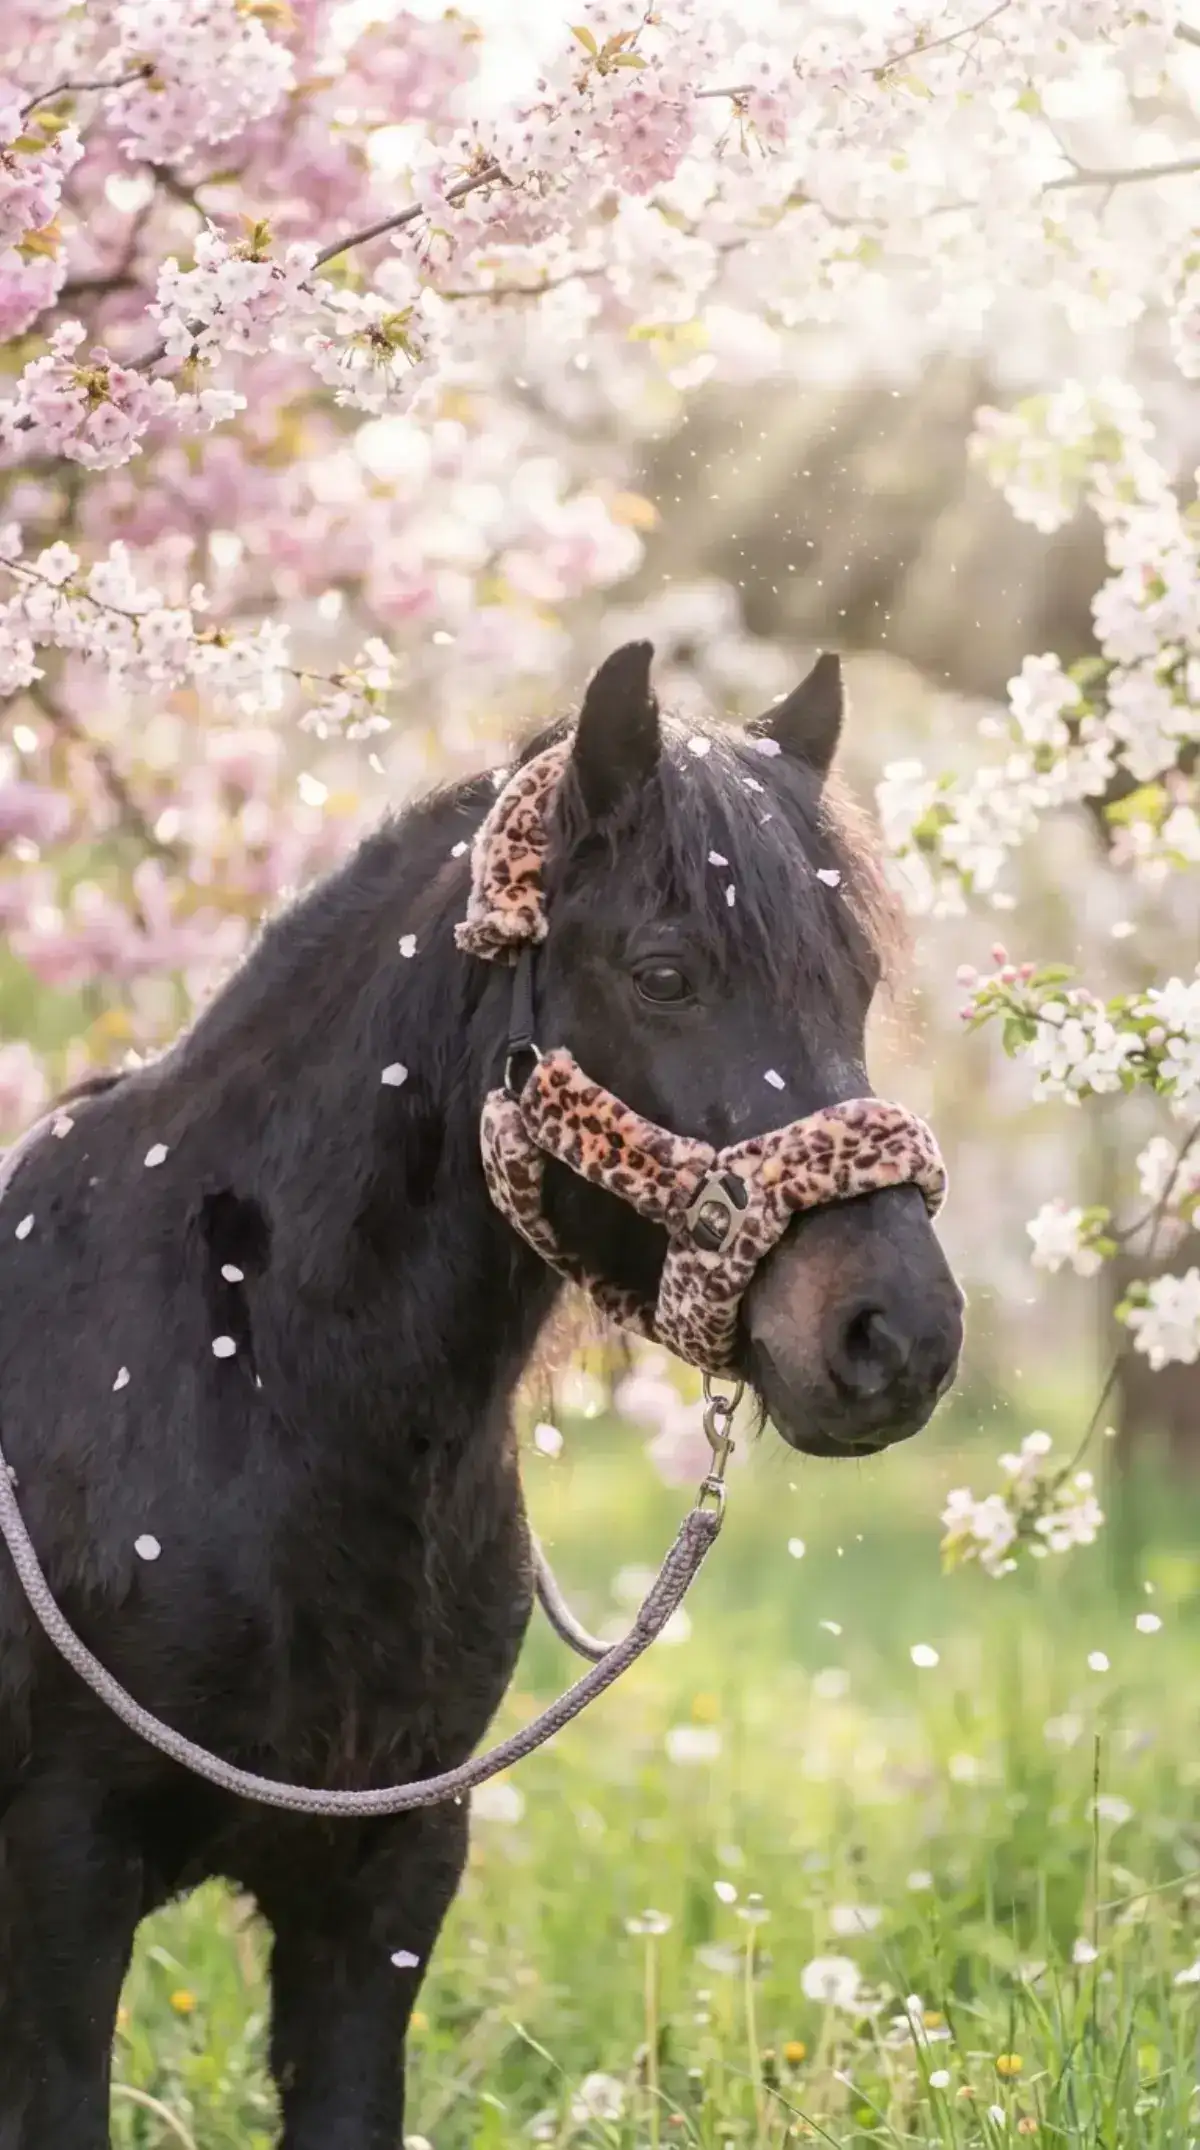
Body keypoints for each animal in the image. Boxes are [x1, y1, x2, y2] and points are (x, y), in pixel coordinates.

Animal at [0, 641, 963, 2148]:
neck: (247, 1386)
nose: (897, 1334)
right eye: (666, 970)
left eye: (856, 977)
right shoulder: (63, 1875)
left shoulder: (384, 1881)